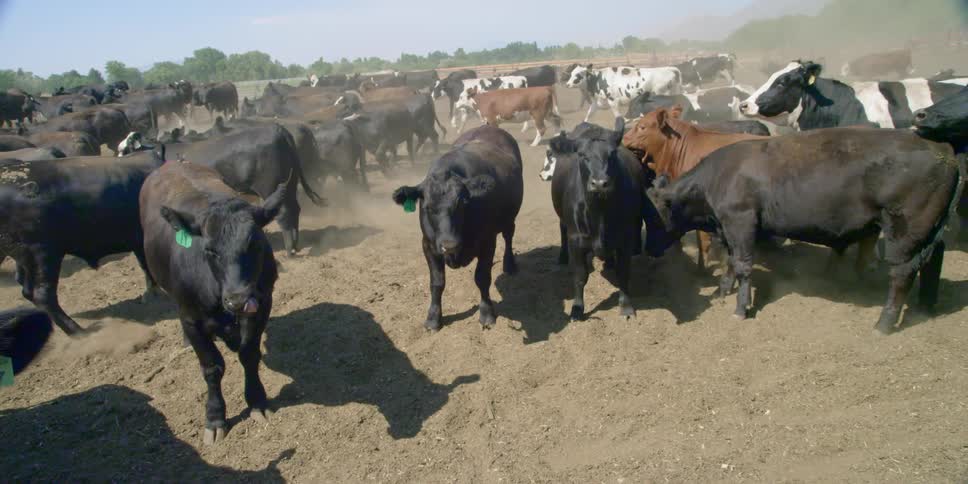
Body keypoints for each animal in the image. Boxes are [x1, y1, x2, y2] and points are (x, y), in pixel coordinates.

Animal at [0, 149, 166, 335]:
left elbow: (146, 267)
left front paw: (152, 295)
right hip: (43, 254)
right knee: (42, 295)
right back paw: (78, 332)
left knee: (27, 290)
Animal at [140, 160, 284, 444]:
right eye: (209, 250)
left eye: (255, 243)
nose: (238, 299)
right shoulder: (192, 319)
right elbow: (211, 367)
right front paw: (215, 417)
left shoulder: (262, 306)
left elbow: (249, 354)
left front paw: (257, 401)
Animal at [391, 125, 523, 331]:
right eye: (427, 207)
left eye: (462, 203)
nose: (449, 245)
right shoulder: (428, 245)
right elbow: (437, 283)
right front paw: (433, 318)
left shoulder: (488, 241)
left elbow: (482, 277)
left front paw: (486, 313)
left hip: (509, 218)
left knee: (508, 236)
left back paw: (509, 264)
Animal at [550, 117, 652, 321]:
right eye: (582, 155)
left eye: (612, 154)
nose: (599, 183)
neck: (600, 214)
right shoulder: (576, 240)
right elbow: (580, 276)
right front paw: (577, 309)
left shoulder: (625, 238)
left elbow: (623, 272)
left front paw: (626, 306)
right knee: (562, 229)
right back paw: (562, 257)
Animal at [646, 127, 962, 334]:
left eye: (654, 216)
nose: (650, 249)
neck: (717, 177)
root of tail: (943, 149)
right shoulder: (727, 228)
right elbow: (731, 262)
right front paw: (723, 291)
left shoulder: (741, 221)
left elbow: (743, 265)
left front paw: (741, 308)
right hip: (929, 230)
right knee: (933, 258)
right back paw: (925, 306)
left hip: (905, 230)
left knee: (902, 273)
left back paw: (884, 323)